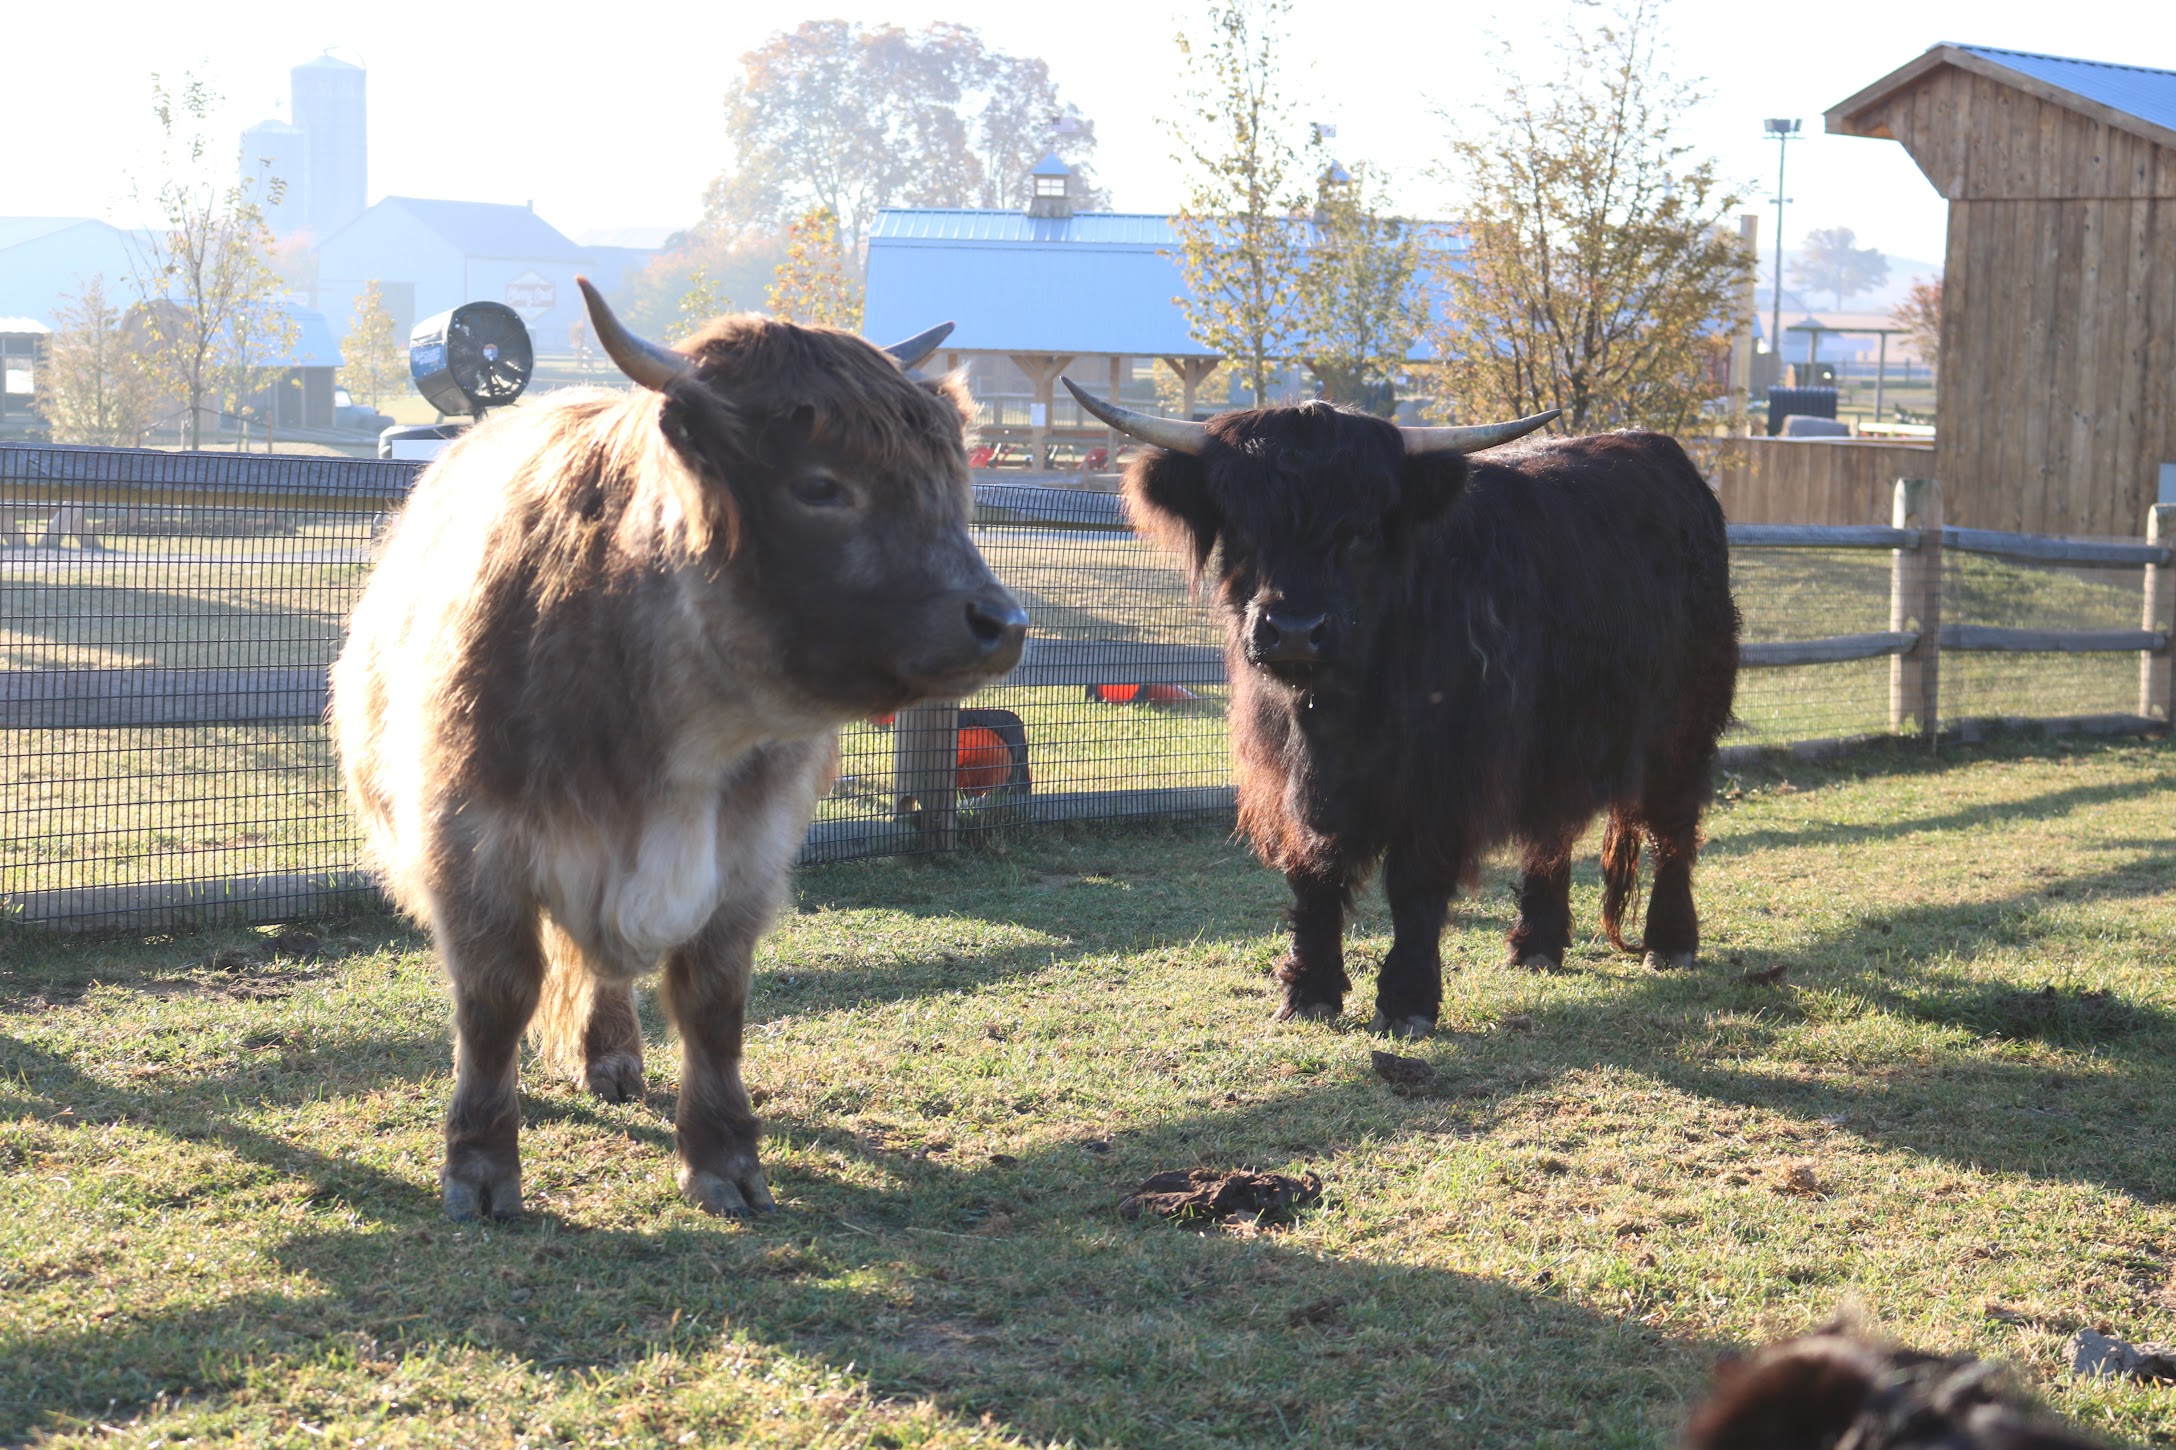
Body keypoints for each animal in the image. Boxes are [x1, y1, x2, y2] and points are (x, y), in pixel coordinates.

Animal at [331, 282, 1027, 1219]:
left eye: (953, 483)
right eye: (820, 485)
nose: (1002, 624)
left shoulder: (746, 859)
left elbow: (713, 1005)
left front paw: (724, 1155)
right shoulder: (471, 848)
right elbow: (495, 1002)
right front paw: (479, 1164)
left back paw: (614, 1055)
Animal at [1065, 381, 1739, 1037]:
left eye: (1361, 531)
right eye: (1242, 526)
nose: (1293, 631)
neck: (1342, 705)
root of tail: (1666, 457)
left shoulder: (1443, 778)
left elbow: (1414, 884)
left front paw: (1407, 999)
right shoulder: (1291, 778)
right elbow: (1312, 873)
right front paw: (1308, 992)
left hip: (1681, 729)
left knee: (1673, 829)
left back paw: (1669, 943)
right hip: (1559, 742)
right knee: (1553, 832)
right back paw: (1535, 945)